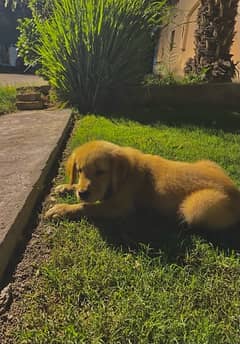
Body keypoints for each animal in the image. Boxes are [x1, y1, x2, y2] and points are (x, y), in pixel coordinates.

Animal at [45, 140, 240, 231]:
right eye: (79, 170)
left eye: (101, 172)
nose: (83, 193)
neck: (124, 175)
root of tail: (235, 191)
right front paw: (66, 187)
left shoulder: (120, 207)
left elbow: (88, 207)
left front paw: (62, 209)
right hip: (208, 162)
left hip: (196, 206)